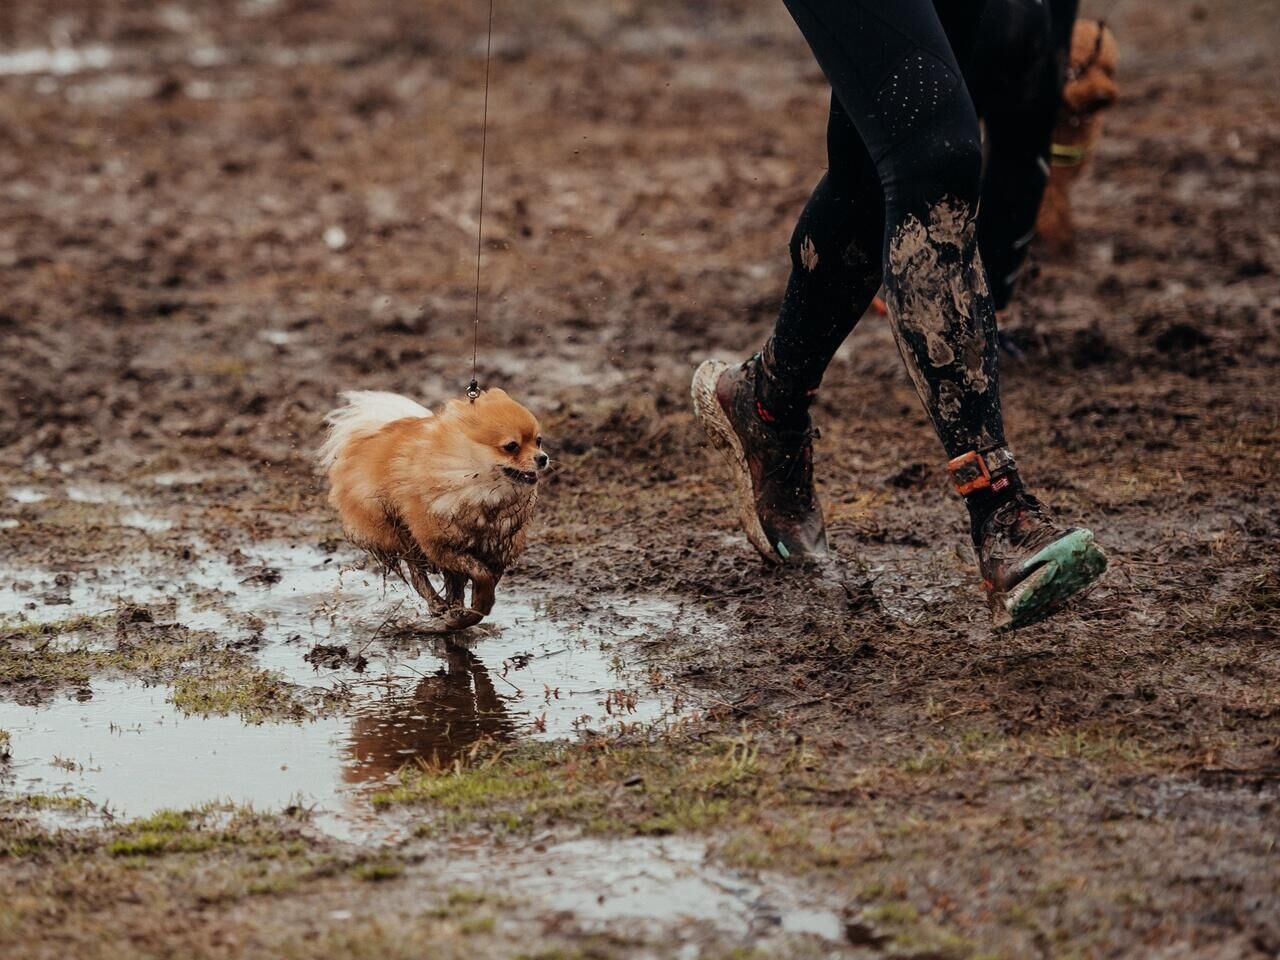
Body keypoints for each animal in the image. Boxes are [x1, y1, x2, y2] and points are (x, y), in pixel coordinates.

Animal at [317, 386, 547, 634]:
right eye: (511, 446)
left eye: (538, 441)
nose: (543, 458)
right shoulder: (439, 545)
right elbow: (480, 579)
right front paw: (458, 616)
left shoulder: (496, 552)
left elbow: (481, 591)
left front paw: (460, 616)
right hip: (399, 534)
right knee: (417, 576)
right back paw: (436, 604)